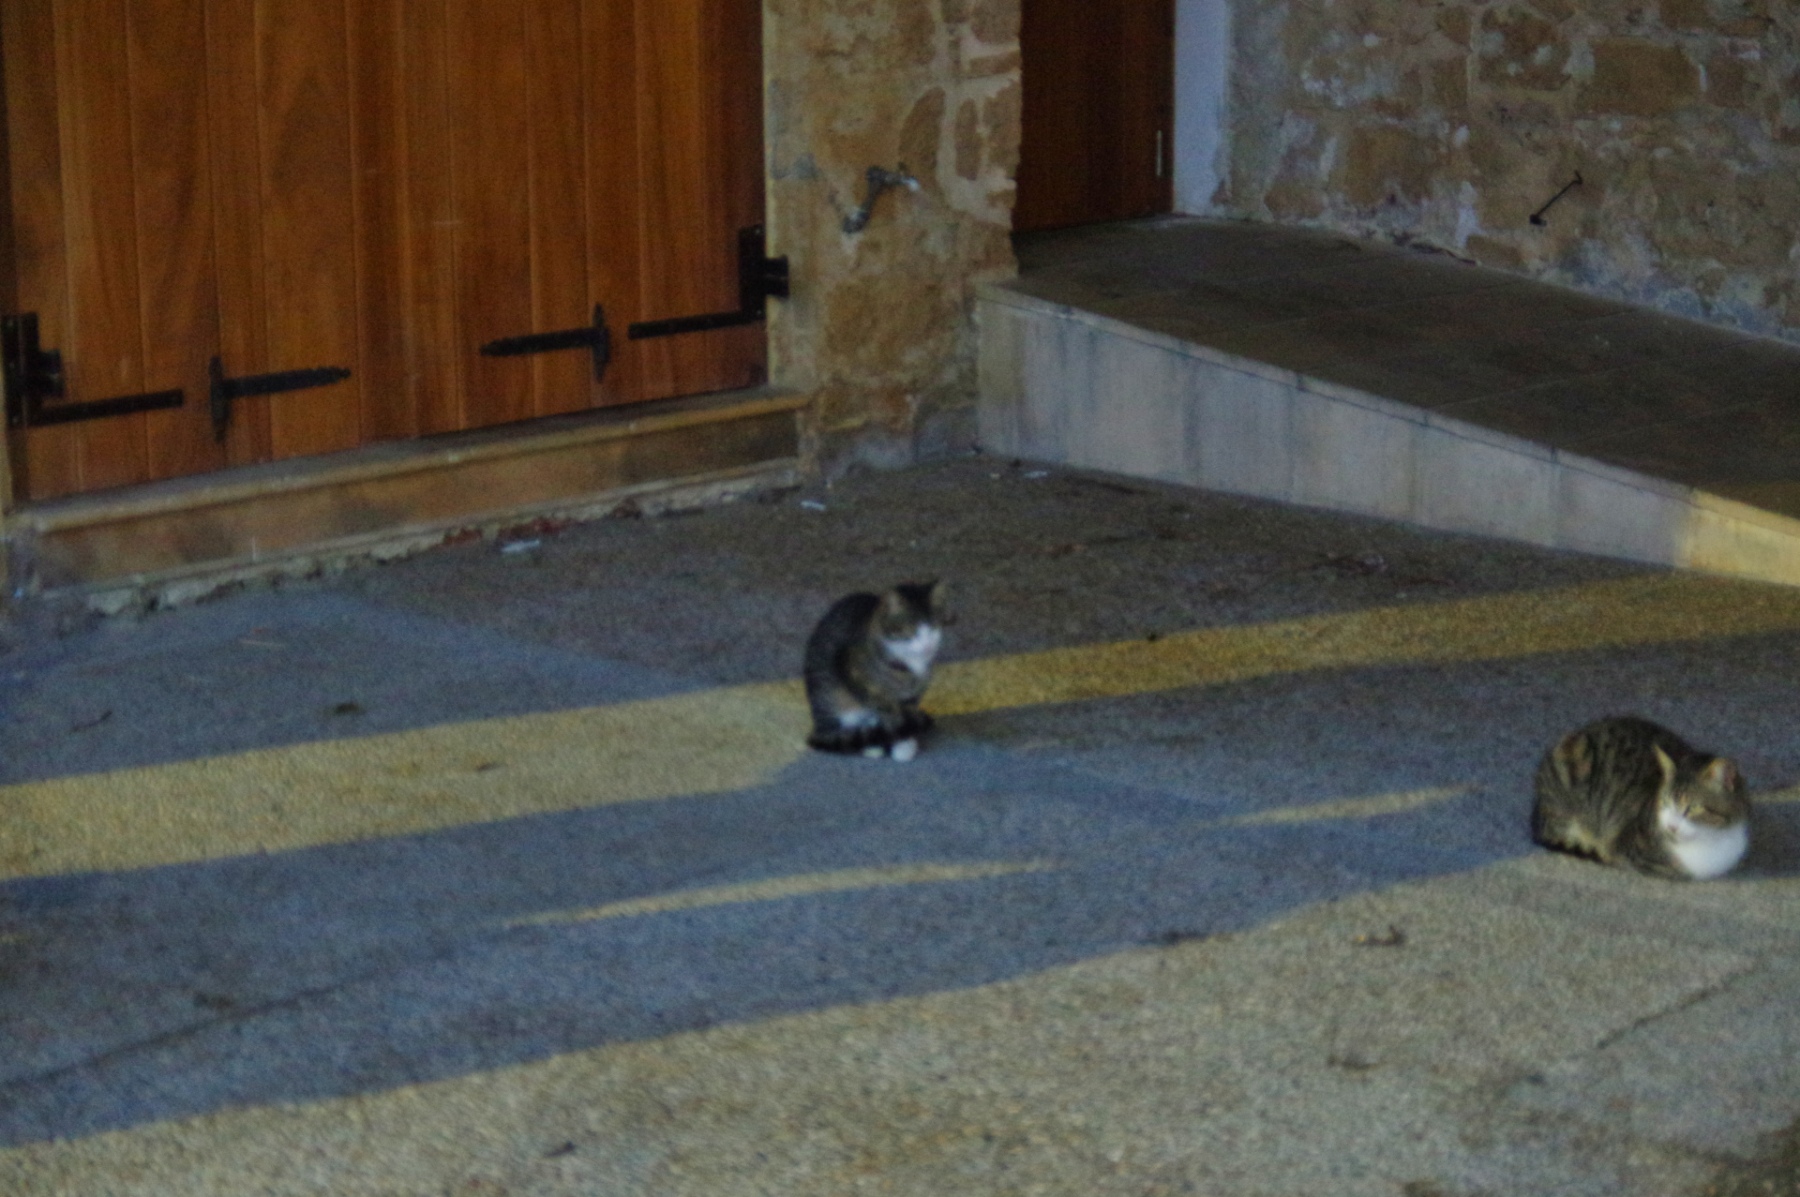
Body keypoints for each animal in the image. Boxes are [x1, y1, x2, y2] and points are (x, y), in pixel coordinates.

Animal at [803, 581, 945, 762]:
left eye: (934, 627)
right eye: (911, 630)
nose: (928, 646)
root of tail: (819, 726)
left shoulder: (913, 696)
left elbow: (907, 714)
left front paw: (905, 743)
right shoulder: (857, 675)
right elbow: (891, 717)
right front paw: (897, 740)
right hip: (836, 701)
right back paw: (870, 745)